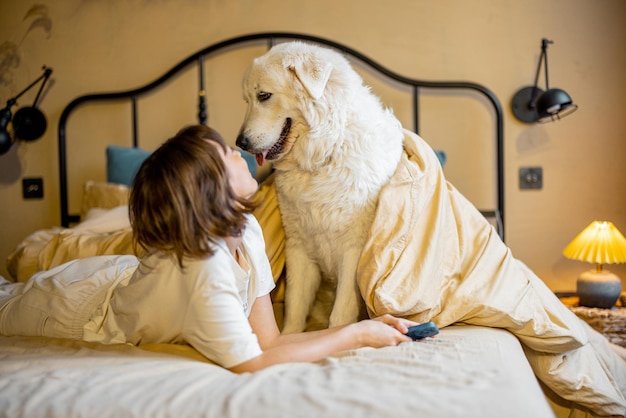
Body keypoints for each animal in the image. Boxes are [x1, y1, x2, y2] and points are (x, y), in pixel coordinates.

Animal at [235, 40, 404, 332]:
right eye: (247, 100)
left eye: (264, 96)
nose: (240, 143)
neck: (326, 152)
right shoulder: (299, 249)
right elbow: (294, 309)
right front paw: (291, 336)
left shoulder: (354, 251)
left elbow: (340, 317)